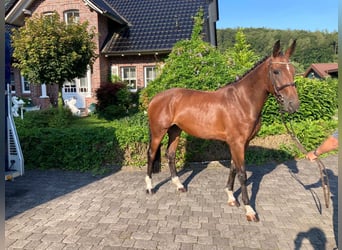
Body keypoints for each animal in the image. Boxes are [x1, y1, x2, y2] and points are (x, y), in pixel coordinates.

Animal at [146, 40, 298, 222]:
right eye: (276, 71)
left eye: (293, 71)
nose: (293, 104)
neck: (242, 101)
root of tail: (155, 98)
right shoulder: (237, 143)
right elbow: (242, 173)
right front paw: (249, 210)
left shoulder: (241, 143)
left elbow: (233, 168)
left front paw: (231, 198)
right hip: (158, 132)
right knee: (151, 154)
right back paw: (150, 188)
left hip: (175, 131)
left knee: (170, 155)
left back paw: (179, 186)